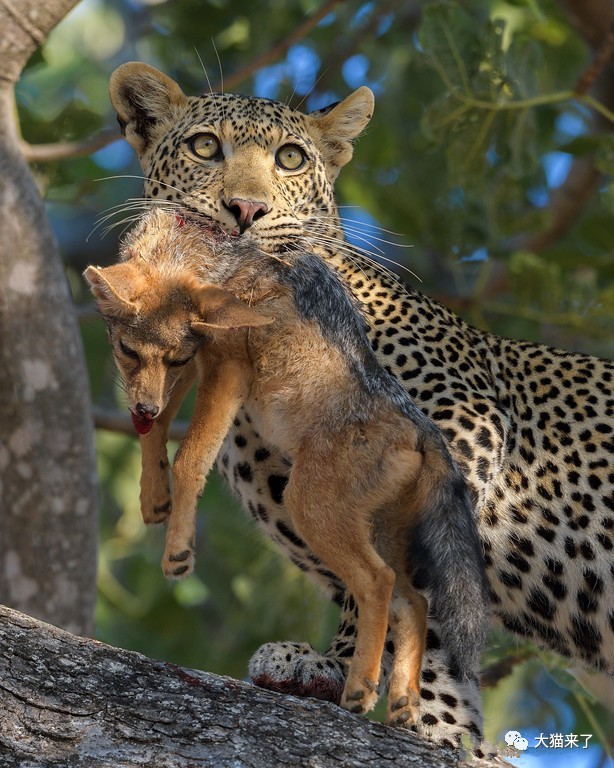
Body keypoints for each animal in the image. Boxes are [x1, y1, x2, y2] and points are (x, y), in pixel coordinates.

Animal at [108, 61, 614, 752]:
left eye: (291, 158)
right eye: (205, 147)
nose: (246, 210)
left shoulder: (460, 420)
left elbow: (398, 581)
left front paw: (339, 668)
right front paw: (440, 723)